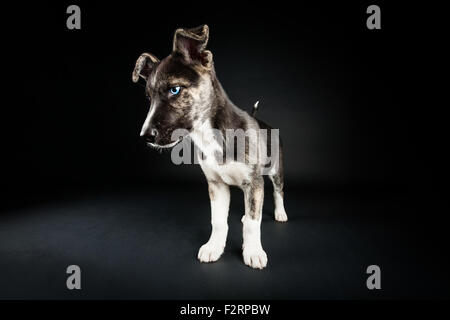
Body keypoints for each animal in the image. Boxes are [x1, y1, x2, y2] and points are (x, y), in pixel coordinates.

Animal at [133, 25, 288, 270]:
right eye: (149, 98)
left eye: (175, 90)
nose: (146, 136)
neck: (211, 135)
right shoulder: (216, 185)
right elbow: (218, 221)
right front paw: (214, 247)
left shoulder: (254, 182)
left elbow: (253, 222)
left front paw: (253, 252)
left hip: (276, 169)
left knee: (278, 191)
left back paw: (280, 213)